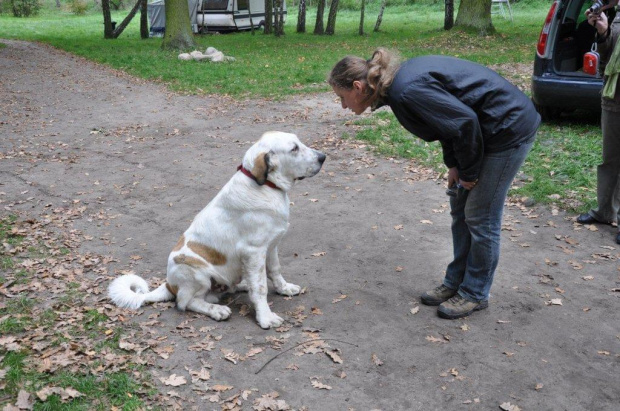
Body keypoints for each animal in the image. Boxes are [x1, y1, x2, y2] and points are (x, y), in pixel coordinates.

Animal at [108, 132, 326, 328]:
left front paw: (284, 289)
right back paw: (217, 310)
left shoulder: (271, 246)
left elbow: (274, 270)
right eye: (294, 148)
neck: (267, 186)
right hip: (195, 271)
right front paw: (265, 318)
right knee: (186, 302)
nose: (323, 157)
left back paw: (241, 286)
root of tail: (169, 284)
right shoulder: (254, 251)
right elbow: (260, 288)